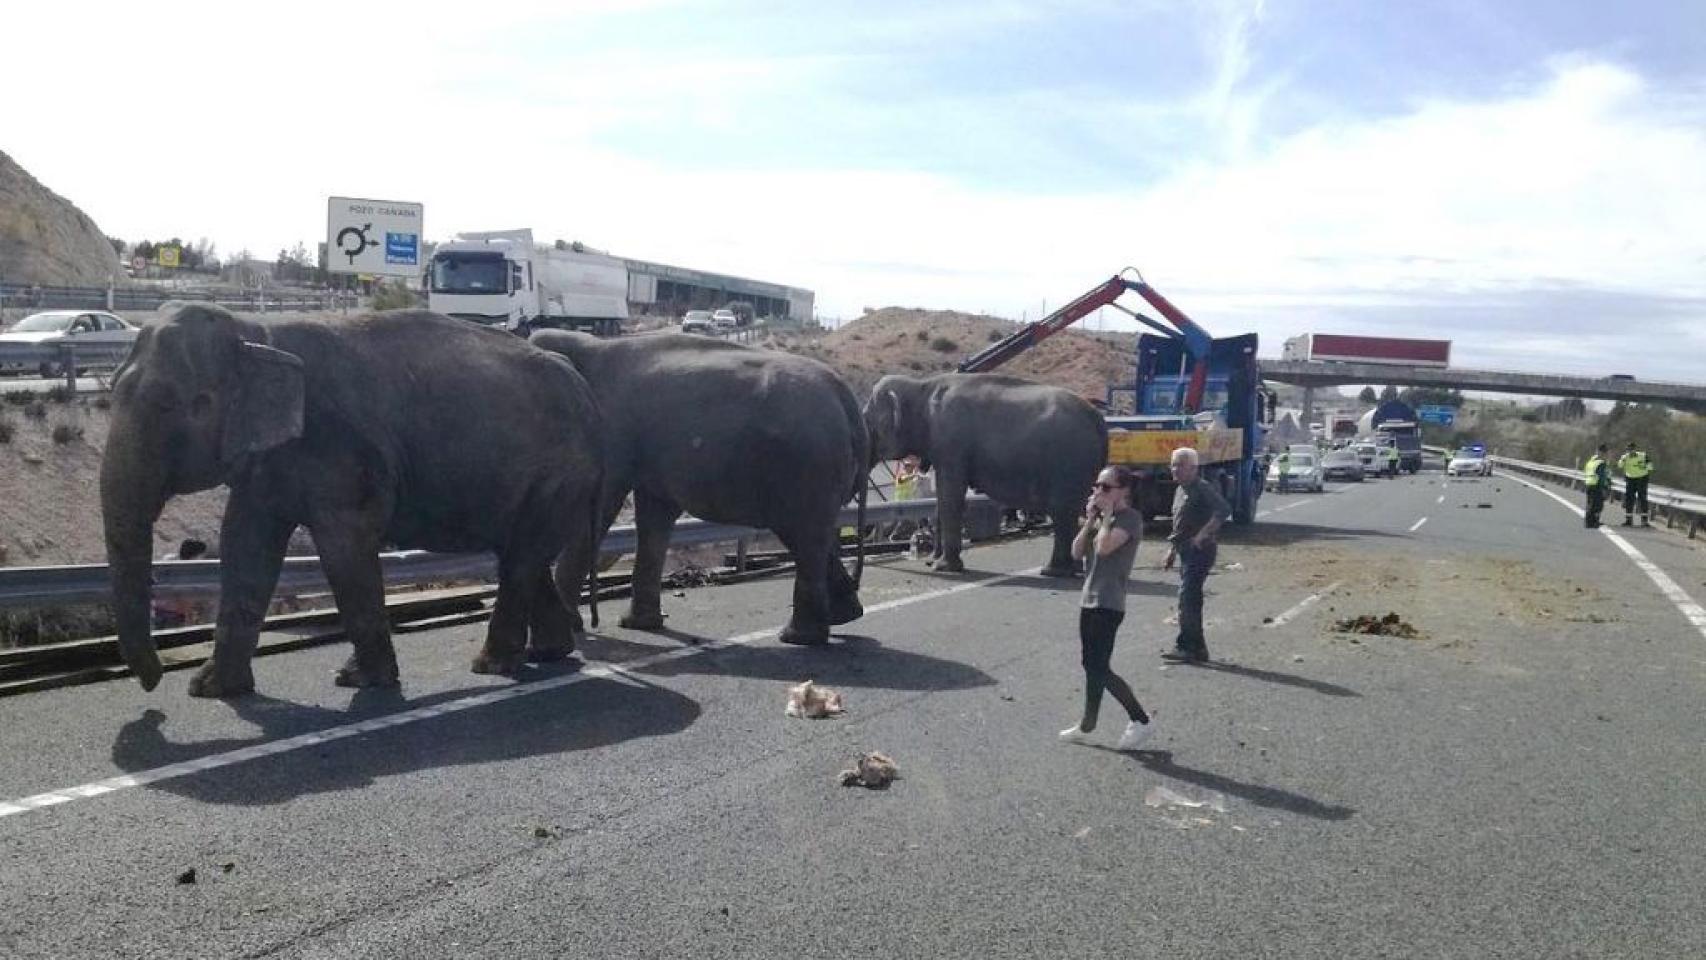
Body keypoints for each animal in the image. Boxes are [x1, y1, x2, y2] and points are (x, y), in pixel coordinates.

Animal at [101, 303, 607, 695]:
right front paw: (211, 690)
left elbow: (344, 544)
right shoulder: (267, 459)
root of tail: (585, 391)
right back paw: (548, 652)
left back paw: (492, 666)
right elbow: (244, 545)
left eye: (183, 405)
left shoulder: (340, 448)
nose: (153, 682)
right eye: (111, 390)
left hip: (558, 475)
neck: (257, 333)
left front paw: (362, 680)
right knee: (522, 556)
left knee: (520, 558)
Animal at [528, 330, 866, 644]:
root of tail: (845, 396)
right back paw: (844, 617)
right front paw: (638, 625)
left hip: (806, 465)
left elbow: (603, 508)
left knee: (803, 537)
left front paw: (575, 628)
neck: (589, 344)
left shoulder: (612, 435)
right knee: (812, 537)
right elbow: (654, 518)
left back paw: (797, 637)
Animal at [866, 371, 1105, 576]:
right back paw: (1074, 569)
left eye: (866, 418)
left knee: (1061, 511)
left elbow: (950, 495)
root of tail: (1098, 420)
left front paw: (944, 568)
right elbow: (942, 499)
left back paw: (1052, 571)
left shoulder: (951, 443)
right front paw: (935, 562)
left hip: (1068, 463)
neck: (921, 386)